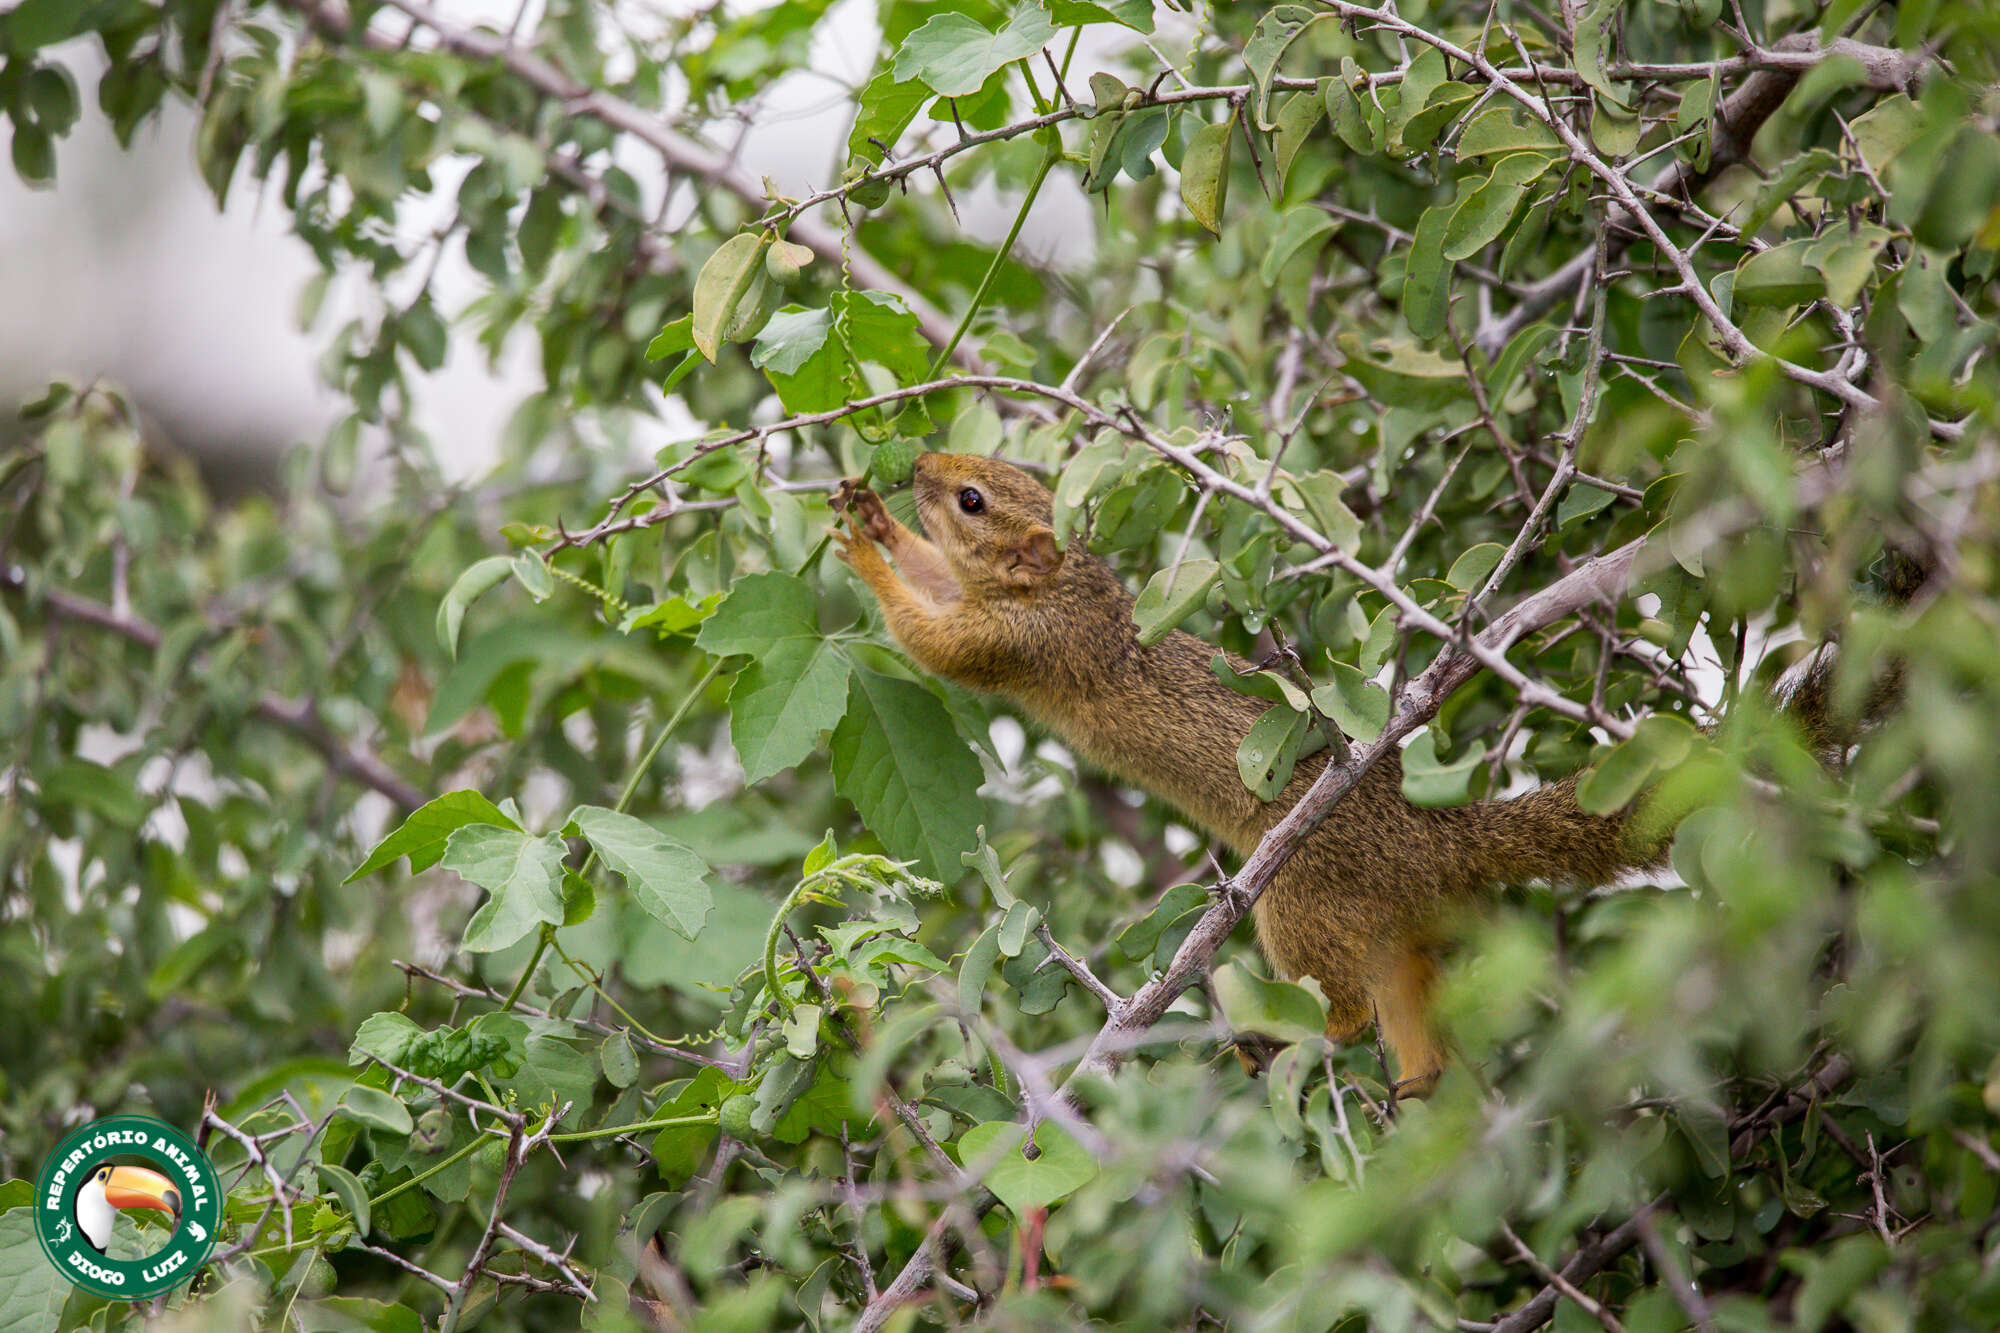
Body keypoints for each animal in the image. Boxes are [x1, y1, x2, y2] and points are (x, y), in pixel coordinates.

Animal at [832, 446, 1888, 1088]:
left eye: (973, 498)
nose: (918, 463)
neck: (1064, 584)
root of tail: (1434, 846)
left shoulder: (1020, 643)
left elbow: (932, 638)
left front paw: (862, 542)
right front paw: (873, 517)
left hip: (1297, 902)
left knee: (1343, 1003)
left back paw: (1299, 1037)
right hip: (1397, 934)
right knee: (1411, 1003)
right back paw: (1421, 1087)